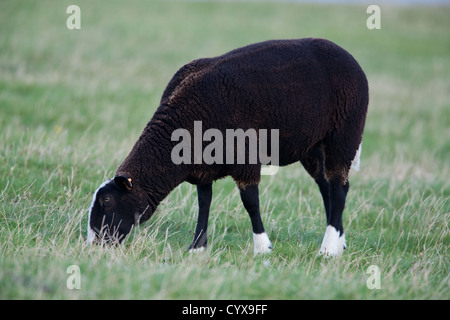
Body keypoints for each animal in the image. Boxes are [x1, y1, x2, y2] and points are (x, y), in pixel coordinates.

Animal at [88, 38, 370, 258]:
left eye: (107, 200)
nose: (93, 244)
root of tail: (346, 55)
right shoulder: (202, 165)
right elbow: (204, 202)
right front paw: (197, 248)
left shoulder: (244, 157)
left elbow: (250, 203)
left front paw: (262, 248)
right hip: (313, 147)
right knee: (329, 187)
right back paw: (339, 241)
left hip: (343, 134)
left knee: (338, 189)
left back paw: (328, 249)